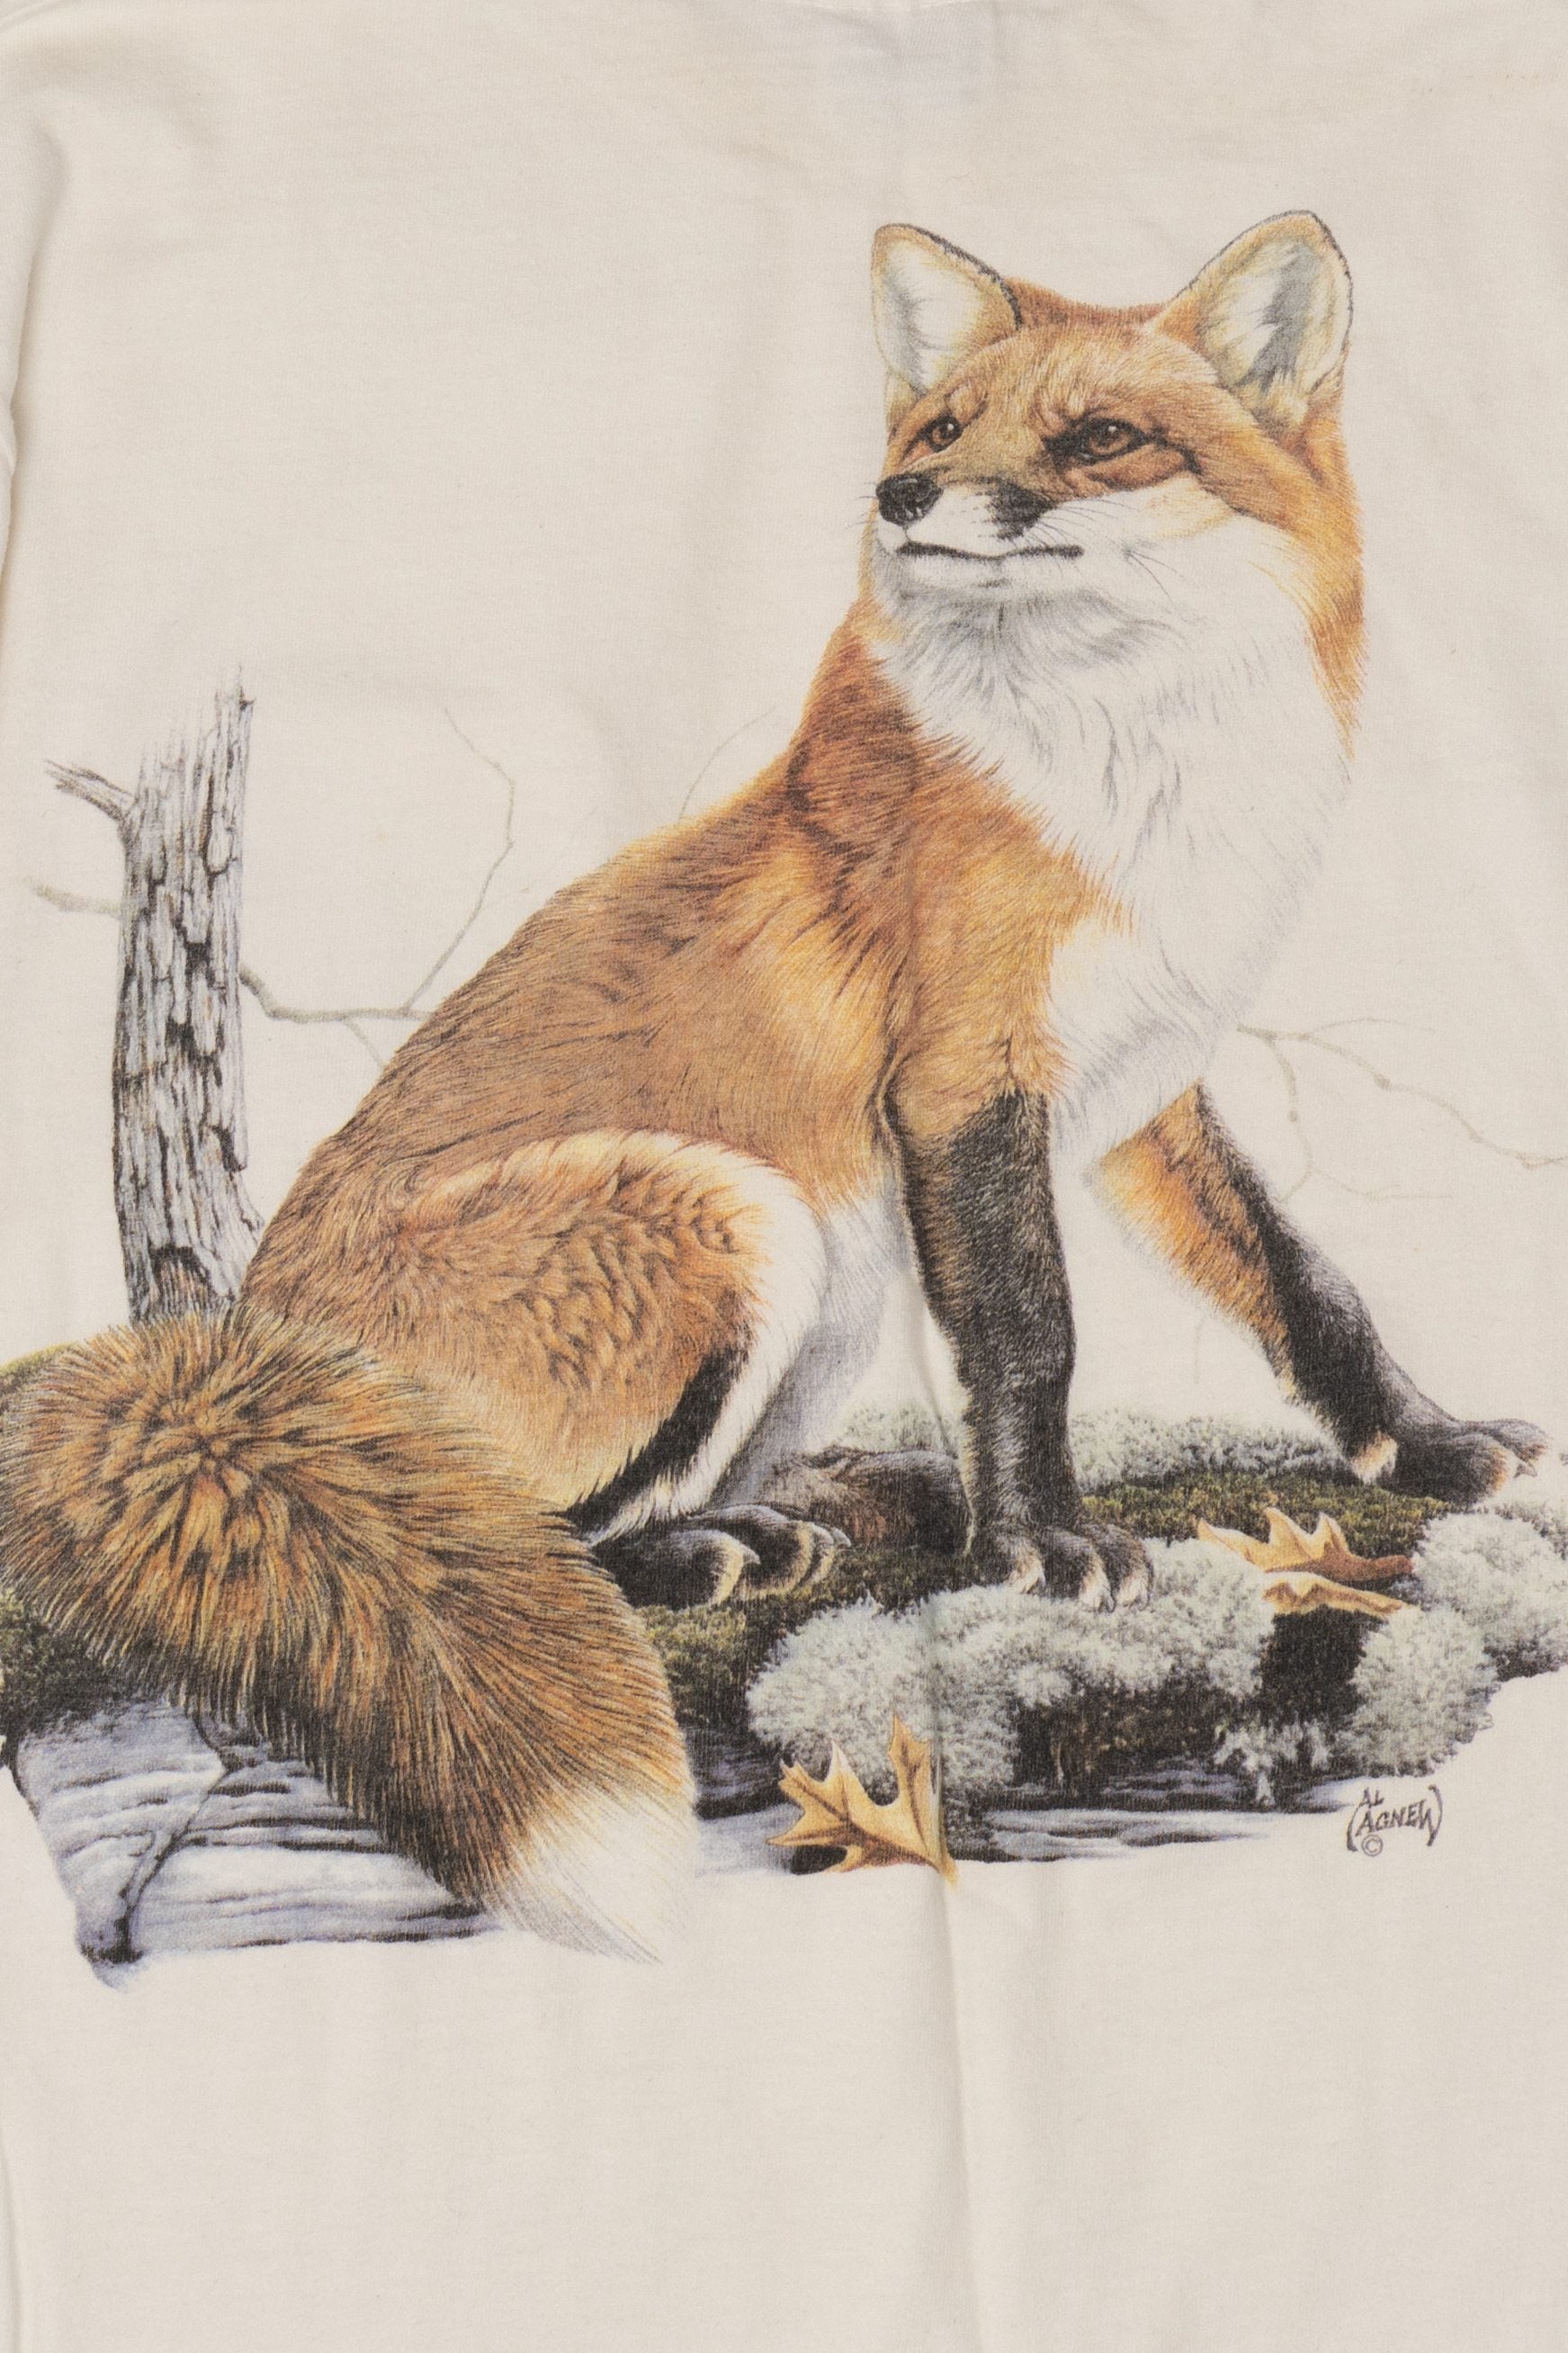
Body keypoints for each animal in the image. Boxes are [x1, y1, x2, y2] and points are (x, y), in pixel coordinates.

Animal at [0, 214, 1547, 1954]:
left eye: (1097, 438)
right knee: (518, 1542)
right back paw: (704, 1556)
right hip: (723, 1212)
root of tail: (237, 1353)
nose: (898, 497)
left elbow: (1301, 1284)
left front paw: (1417, 1447)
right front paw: (1042, 1545)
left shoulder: (1146, 1091)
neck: (1131, 788)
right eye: (940, 430)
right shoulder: (961, 1081)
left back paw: (823, 1499)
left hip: (827, 1292)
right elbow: (1030, 1334)